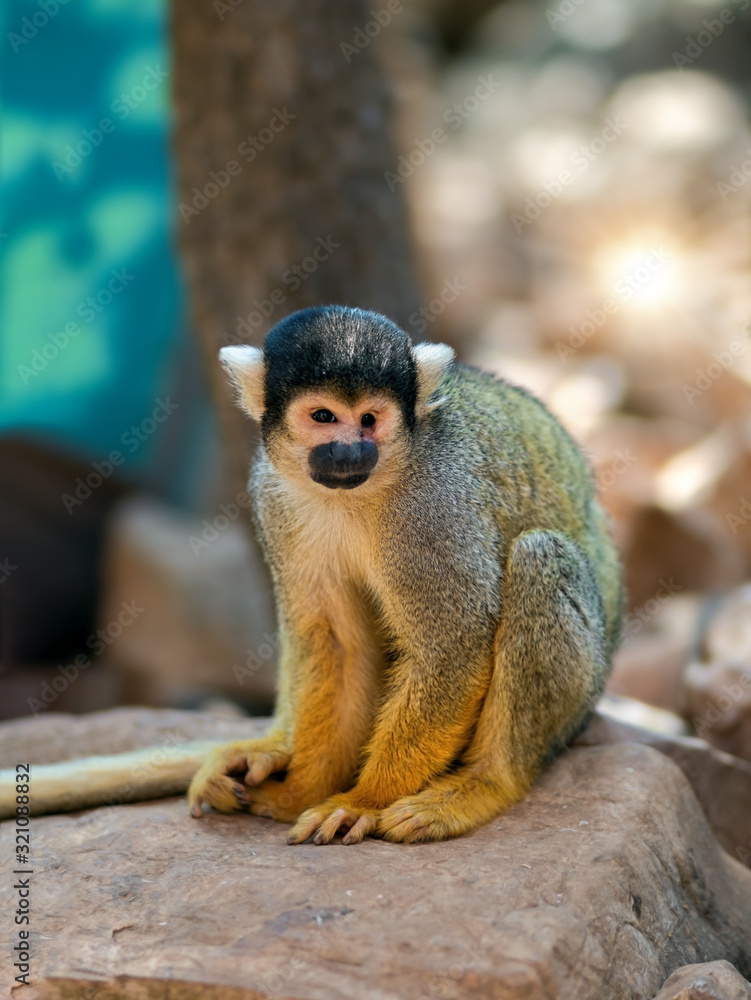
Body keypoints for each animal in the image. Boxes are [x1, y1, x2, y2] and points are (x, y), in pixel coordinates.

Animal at [186, 305, 622, 844]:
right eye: (324, 417)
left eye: (370, 420)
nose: (350, 451)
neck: (355, 493)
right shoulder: (271, 491)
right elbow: (339, 646)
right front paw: (299, 794)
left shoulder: (434, 505)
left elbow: (452, 648)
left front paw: (361, 800)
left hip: (584, 693)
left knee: (540, 556)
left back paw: (487, 783)